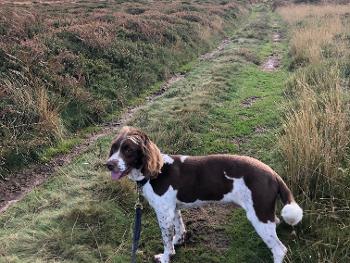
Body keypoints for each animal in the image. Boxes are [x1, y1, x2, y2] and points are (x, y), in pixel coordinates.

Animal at [106, 127, 300, 262]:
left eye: (128, 150)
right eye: (113, 148)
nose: (108, 164)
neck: (155, 171)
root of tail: (272, 174)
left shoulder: (163, 213)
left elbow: (166, 239)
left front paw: (166, 257)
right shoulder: (173, 209)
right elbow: (178, 228)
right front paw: (178, 241)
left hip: (258, 216)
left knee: (279, 249)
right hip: (263, 214)